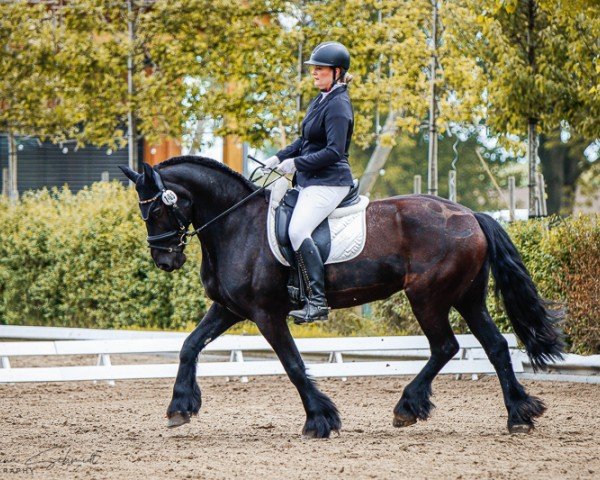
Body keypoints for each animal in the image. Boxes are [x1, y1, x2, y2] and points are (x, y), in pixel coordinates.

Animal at [120, 158, 564, 438]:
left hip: (428, 296)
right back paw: (518, 414)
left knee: (446, 346)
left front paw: (320, 420)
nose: (166, 260)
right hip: (466, 297)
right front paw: (180, 407)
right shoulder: (229, 309)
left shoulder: (266, 313)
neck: (235, 223)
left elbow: (293, 365)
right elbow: (189, 345)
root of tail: (472, 214)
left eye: (156, 210)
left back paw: (408, 407)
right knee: (495, 345)